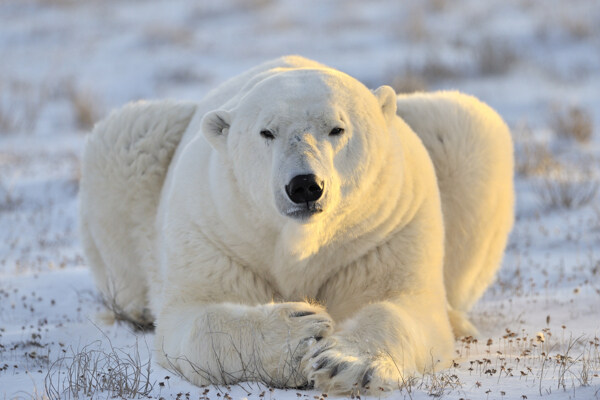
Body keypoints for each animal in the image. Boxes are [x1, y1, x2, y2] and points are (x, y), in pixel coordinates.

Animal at [77, 56, 512, 396]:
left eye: (337, 128)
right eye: (266, 132)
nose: (304, 186)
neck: (302, 243)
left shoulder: (387, 229)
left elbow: (403, 304)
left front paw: (345, 364)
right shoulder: (213, 229)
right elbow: (194, 317)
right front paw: (301, 333)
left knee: (464, 124)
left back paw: (459, 320)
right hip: (138, 152)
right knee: (127, 137)